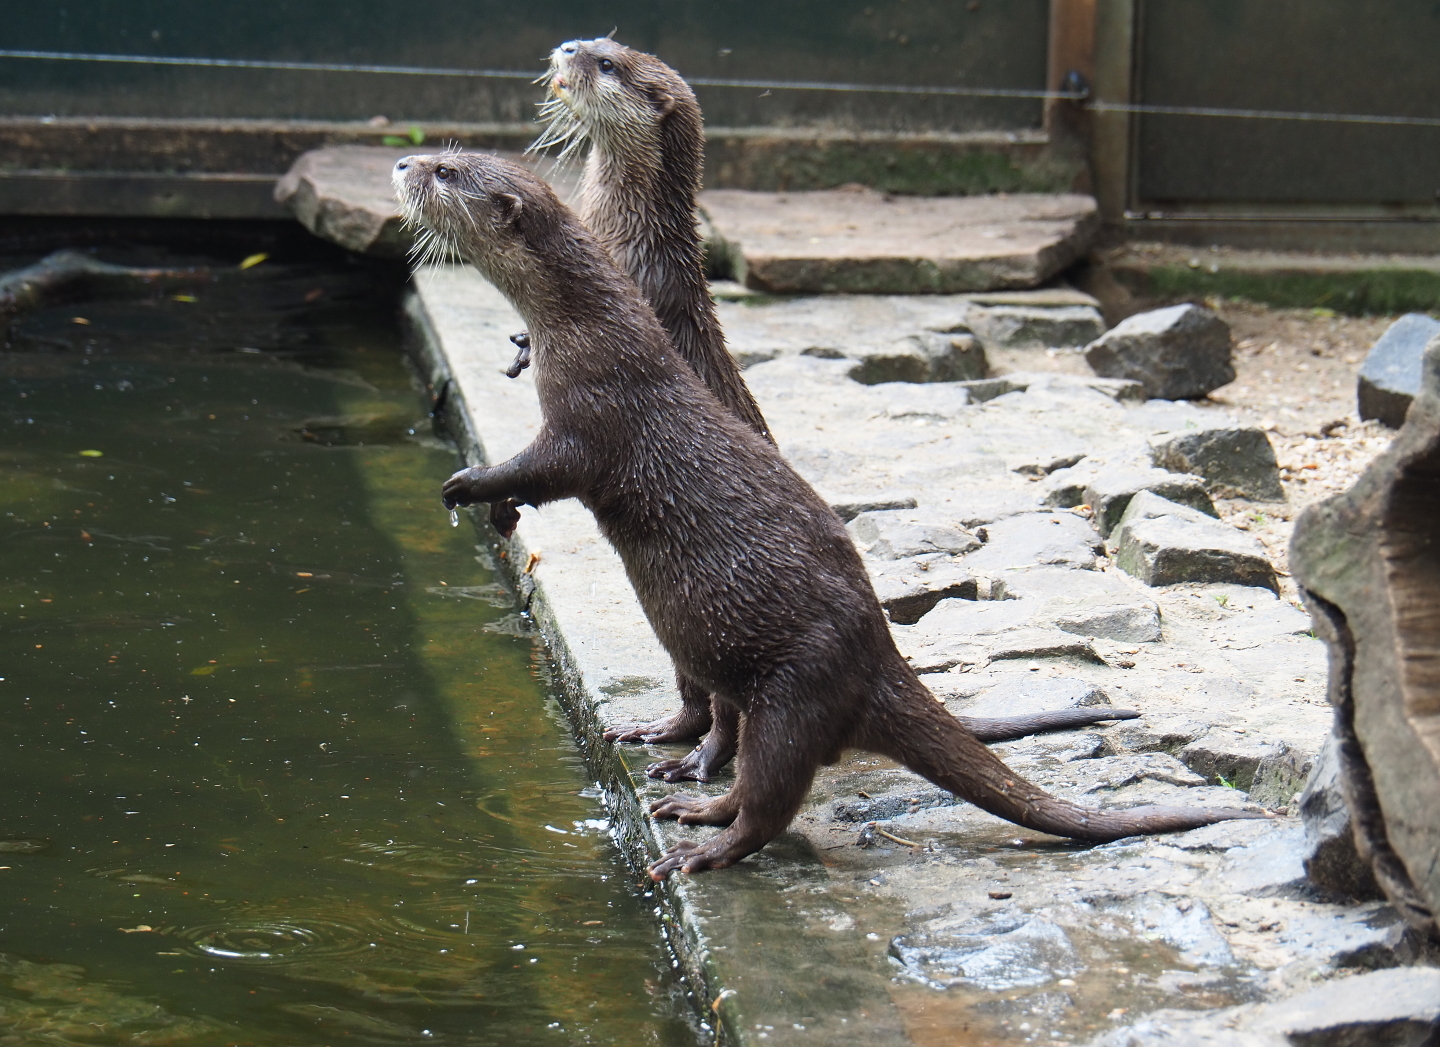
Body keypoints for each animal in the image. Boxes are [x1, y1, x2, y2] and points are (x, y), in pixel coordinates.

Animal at [395, 151, 1262, 879]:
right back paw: (692, 803)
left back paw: (701, 849)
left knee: (770, 802)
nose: (402, 162)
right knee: (748, 782)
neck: (584, 325)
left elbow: (550, 466)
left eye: (446, 171)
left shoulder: (591, 411)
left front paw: (469, 484)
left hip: (794, 692)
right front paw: (500, 508)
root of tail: (879, 654)